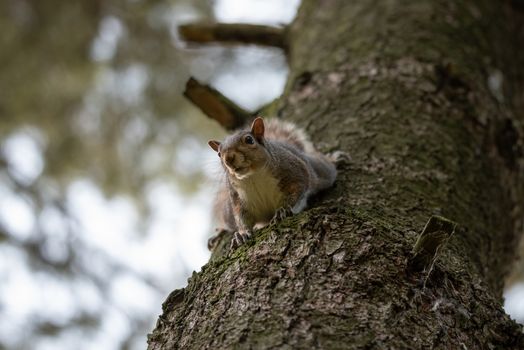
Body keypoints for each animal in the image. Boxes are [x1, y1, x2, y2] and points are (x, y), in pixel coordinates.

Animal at [208, 117, 336, 249]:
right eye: (219, 154)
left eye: (249, 140)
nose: (228, 158)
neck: (253, 176)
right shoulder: (237, 198)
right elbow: (241, 217)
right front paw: (242, 234)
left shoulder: (295, 172)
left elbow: (298, 188)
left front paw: (282, 210)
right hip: (227, 212)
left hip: (321, 172)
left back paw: (334, 158)